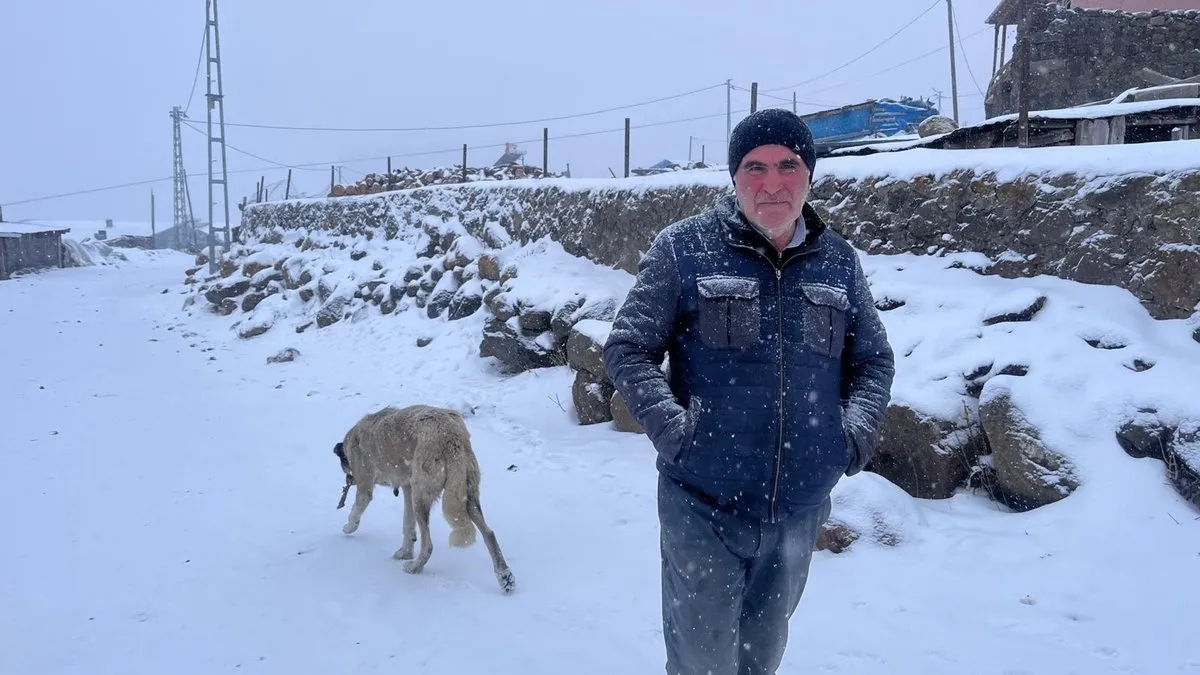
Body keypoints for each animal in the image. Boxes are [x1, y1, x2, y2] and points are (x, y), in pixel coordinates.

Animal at [333, 401, 516, 590]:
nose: (348, 481)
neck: (352, 440)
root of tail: (452, 438)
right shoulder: (408, 489)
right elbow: (407, 524)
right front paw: (405, 552)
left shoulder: (366, 486)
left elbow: (355, 510)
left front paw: (348, 527)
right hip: (466, 496)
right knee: (490, 534)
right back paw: (505, 576)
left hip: (421, 498)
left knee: (428, 546)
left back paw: (414, 568)